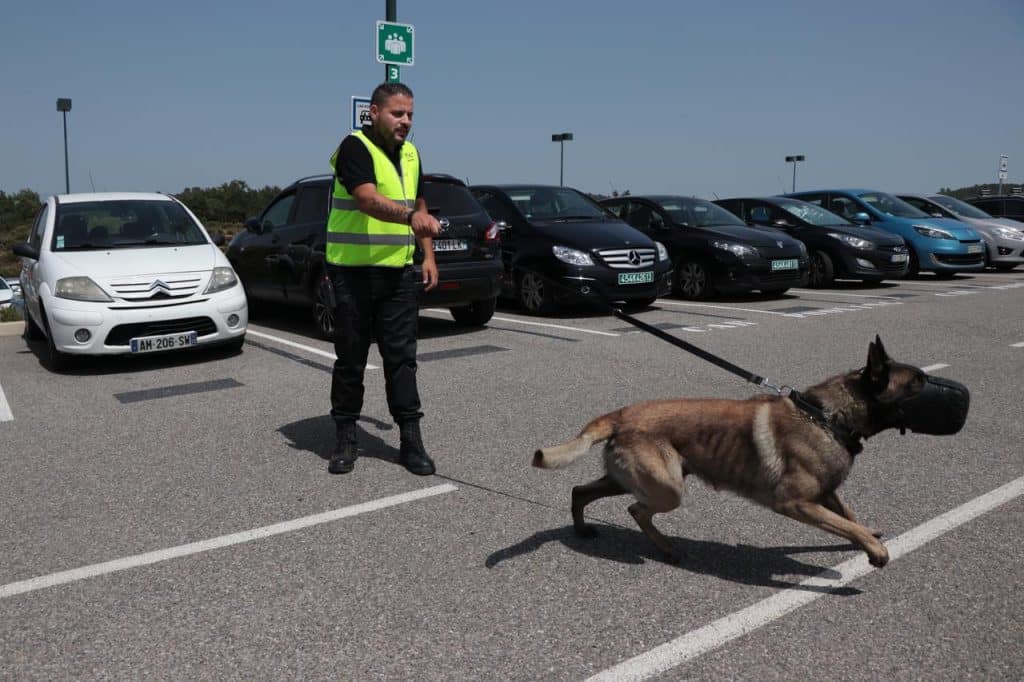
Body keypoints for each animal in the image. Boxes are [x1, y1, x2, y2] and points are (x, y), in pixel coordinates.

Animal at [532, 337, 970, 565]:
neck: (826, 416)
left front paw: (865, 537)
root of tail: (620, 414)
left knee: (581, 492)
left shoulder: (826, 493)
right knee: (636, 511)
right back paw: (667, 548)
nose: (966, 399)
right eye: (918, 383)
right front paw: (875, 550)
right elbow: (845, 522)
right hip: (667, 488)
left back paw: (583, 529)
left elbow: (848, 515)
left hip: (631, 479)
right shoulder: (795, 502)